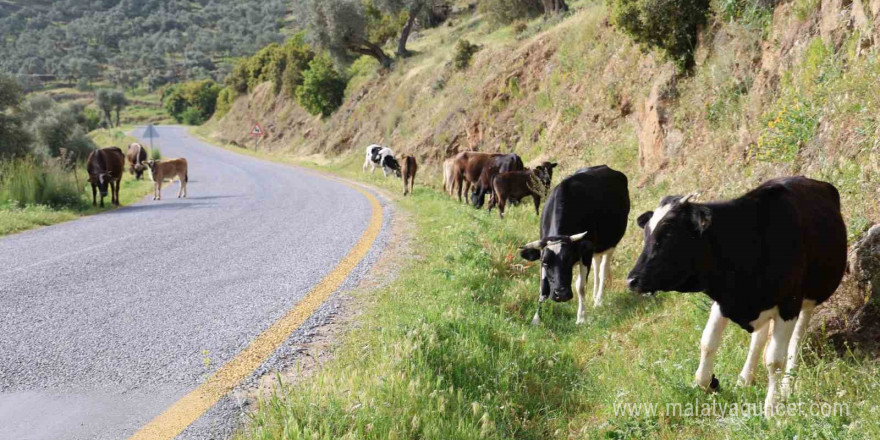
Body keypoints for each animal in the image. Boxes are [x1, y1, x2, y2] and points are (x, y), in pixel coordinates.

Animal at [624, 175, 844, 416]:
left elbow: (775, 360)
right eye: (646, 235)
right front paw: (710, 383)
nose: (632, 280)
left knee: (795, 340)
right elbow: (707, 342)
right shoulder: (724, 301)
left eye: (669, 233)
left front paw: (772, 407)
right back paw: (744, 380)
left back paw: (786, 387)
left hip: (808, 301)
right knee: (758, 340)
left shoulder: (788, 304)